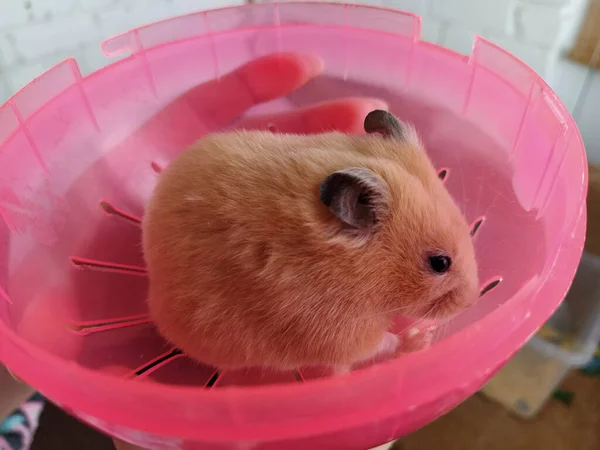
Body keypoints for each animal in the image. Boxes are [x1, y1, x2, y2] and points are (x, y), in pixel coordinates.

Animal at [142, 110, 478, 372]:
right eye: (439, 263)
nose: (472, 301)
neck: (360, 271)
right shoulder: (343, 332)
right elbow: (382, 343)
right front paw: (420, 340)